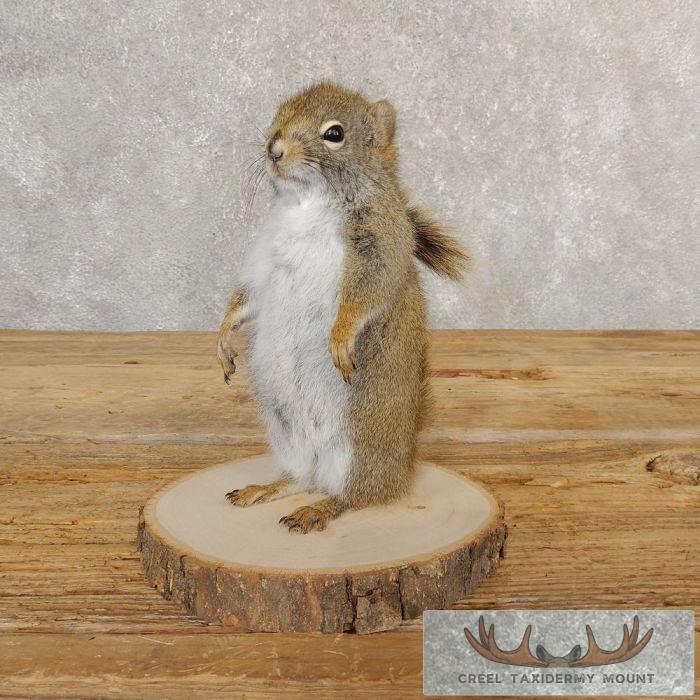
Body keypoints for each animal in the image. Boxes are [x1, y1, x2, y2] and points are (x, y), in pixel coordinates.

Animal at [218, 82, 467, 534]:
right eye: (279, 112)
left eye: (335, 134)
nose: (273, 149)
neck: (308, 203)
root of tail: (401, 470)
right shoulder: (266, 254)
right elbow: (248, 297)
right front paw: (225, 336)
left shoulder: (380, 242)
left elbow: (367, 292)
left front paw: (340, 335)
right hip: (287, 433)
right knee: (303, 478)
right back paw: (268, 487)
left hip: (359, 444)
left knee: (352, 497)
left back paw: (319, 508)